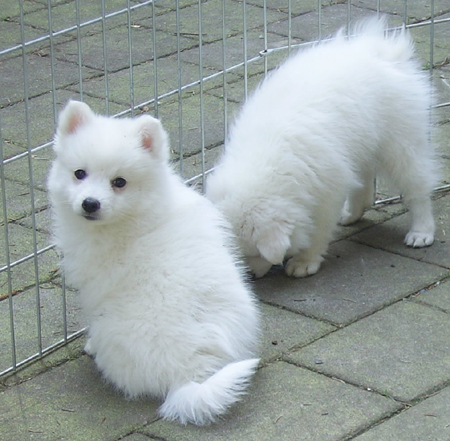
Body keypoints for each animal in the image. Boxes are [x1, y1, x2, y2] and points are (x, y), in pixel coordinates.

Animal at [47, 100, 260, 425]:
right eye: (79, 173)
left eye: (119, 182)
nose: (90, 204)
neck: (136, 211)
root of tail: (186, 377)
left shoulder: (95, 285)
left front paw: (89, 345)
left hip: (116, 332)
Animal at [206, 18, 438, 278]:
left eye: (252, 253)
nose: (250, 277)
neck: (267, 161)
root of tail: (386, 53)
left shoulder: (327, 189)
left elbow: (317, 228)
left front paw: (304, 261)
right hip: (361, 141)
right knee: (363, 177)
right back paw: (352, 213)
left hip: (402, 144)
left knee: (417, 189)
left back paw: (421, 232)